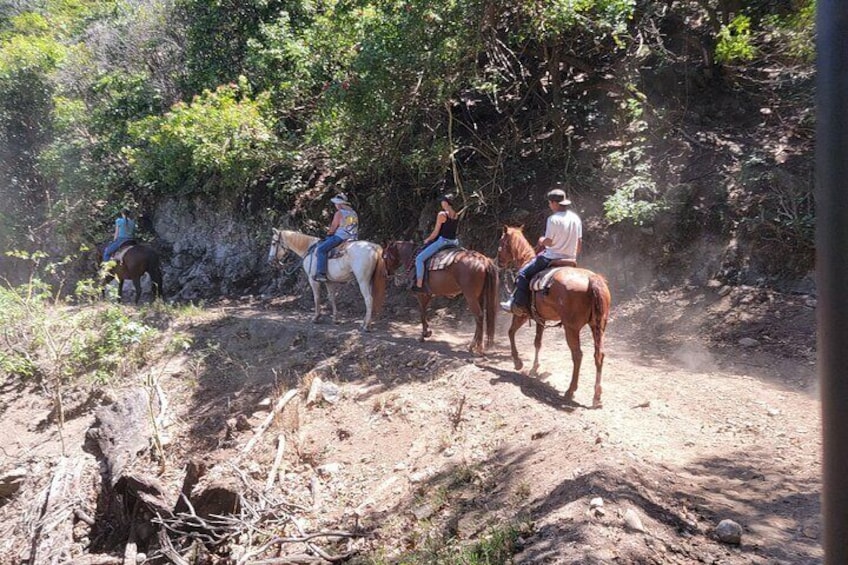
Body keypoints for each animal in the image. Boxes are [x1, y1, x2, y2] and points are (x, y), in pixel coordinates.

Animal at [496, 225, 608, 406]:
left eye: (501, 242)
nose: (498, 262)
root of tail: (592, 279)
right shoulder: (540, 319)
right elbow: (537, 342)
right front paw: (534, 368)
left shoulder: (521, 314)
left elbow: (511, 332)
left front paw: (518, 362)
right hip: (598, 326)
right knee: (599, 355)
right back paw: (596, 396)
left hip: (571, 328)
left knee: (577, 355)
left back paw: (570, 391)